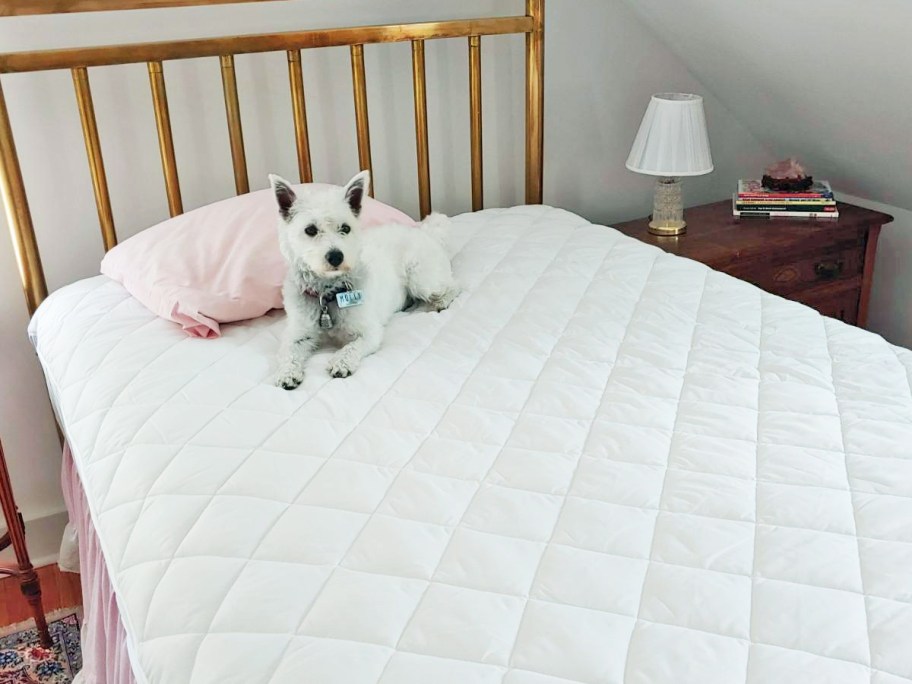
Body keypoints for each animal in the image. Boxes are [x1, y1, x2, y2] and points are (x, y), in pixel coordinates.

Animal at [268, 170, 456, 390]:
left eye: (345, 228)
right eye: (310, 230)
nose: (336, 256)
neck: (327, 295)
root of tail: (425, 232)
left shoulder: (369, 332)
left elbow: (352, 347)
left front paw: (341, 363)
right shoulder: (297, 332)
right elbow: (288, 352)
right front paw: (287, 373)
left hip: (422, 279)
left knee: (453, 285)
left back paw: (441, 301)